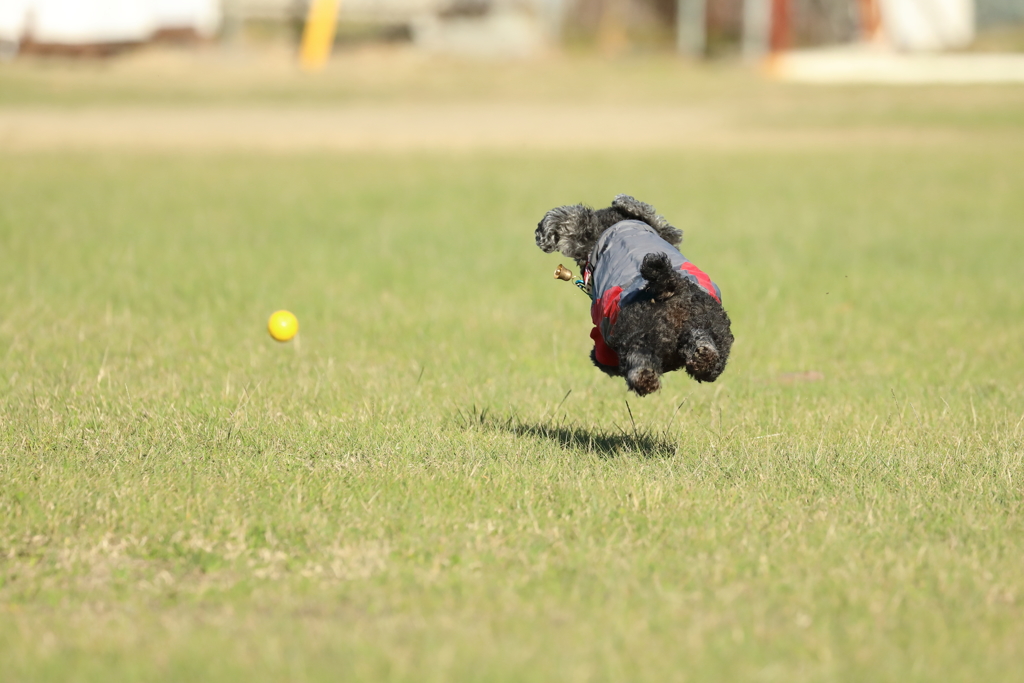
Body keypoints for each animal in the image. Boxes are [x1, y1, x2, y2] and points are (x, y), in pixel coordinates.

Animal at [540, 193, 733, 395]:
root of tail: (666, 284)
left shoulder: (603, 343)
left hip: (636, 337)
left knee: (640, 363)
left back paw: (645, 380)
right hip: (713, 327)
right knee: (706, 352)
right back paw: (703, 357)